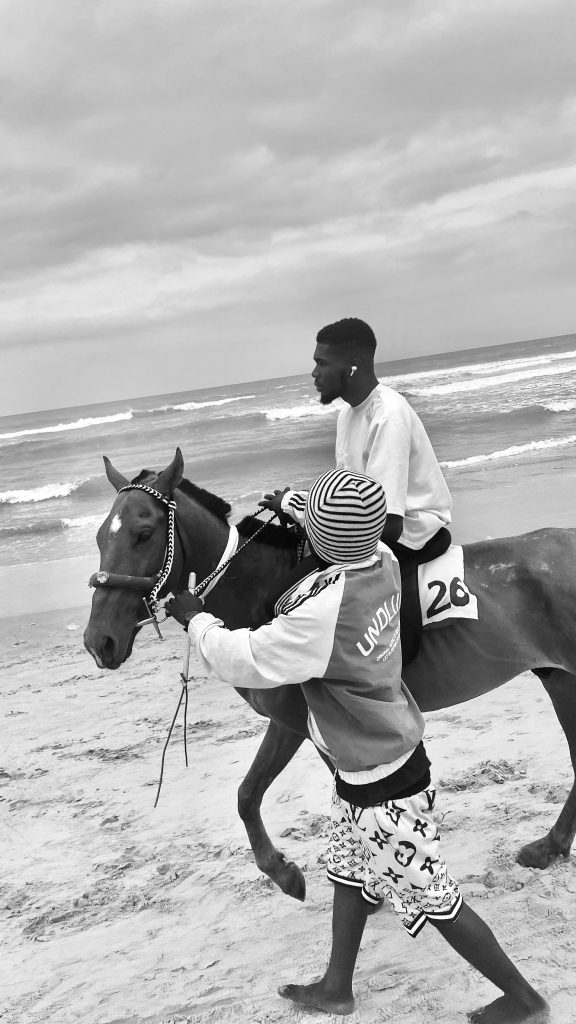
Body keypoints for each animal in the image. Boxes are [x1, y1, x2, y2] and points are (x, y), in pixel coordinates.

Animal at [83, 448, 573, 897]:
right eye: (100, 538)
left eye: (144, 534)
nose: (98, 641)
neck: (261, 590)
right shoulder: (293, 724)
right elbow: (247, 794)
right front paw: (285, 872)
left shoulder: (309, 726)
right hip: (559, 678)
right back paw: (550, 847)